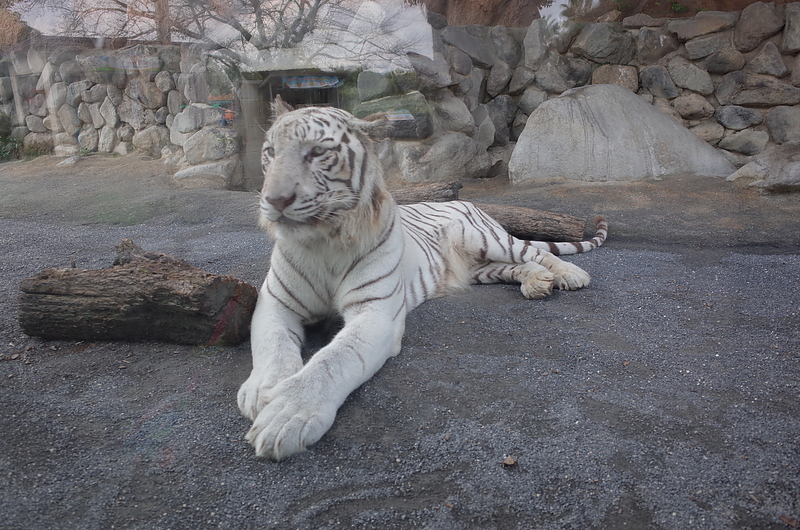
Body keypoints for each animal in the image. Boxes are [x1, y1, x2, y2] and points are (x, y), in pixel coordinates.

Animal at [238, 99, 608, 458]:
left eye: (316, 152)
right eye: (270, 151)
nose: (275, 200)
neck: (323, 241)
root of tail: (467, 202)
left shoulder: (376, 313)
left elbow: (333, 360)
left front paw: (286, 416)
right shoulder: (275, 302)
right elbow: (273, 344)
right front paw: (261, 391)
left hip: (484, 238)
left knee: (535, 253)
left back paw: (570, 275)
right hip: (482, 267)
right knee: (519, 267)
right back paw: (537, 283)